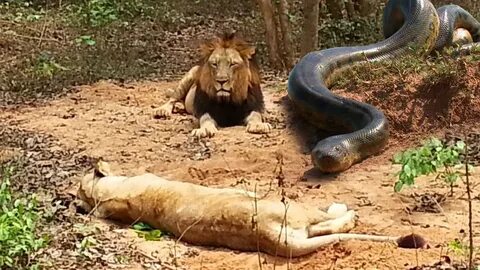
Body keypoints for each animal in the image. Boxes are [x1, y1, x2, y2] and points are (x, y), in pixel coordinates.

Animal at [76, 160, 428, 258]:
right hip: (293, 207)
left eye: (78, 193)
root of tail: (266, 234)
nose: (76, 204)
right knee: (329, 221)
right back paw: (346, 211)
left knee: (323, 230)